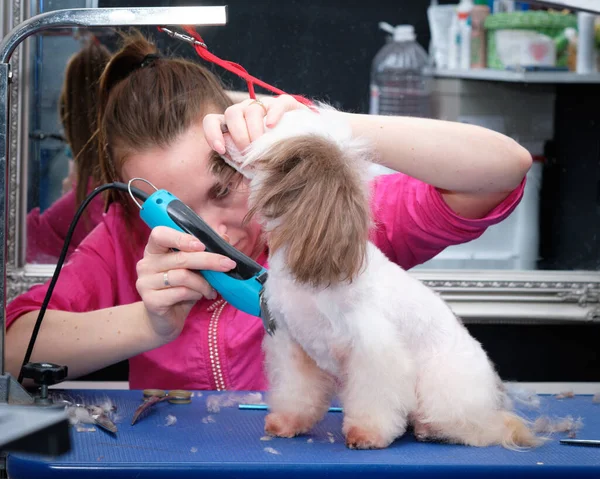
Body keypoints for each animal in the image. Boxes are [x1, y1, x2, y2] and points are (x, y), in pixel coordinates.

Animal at [219, 104, 540, 450]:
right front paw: (288, 422)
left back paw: (432, 428)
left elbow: (374, 396)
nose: (223, 123)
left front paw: (367, 434)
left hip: (443, 387)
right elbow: (297, 391)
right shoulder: (294, 345)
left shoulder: (373, 348)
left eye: (262, 127)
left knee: (472, 427)